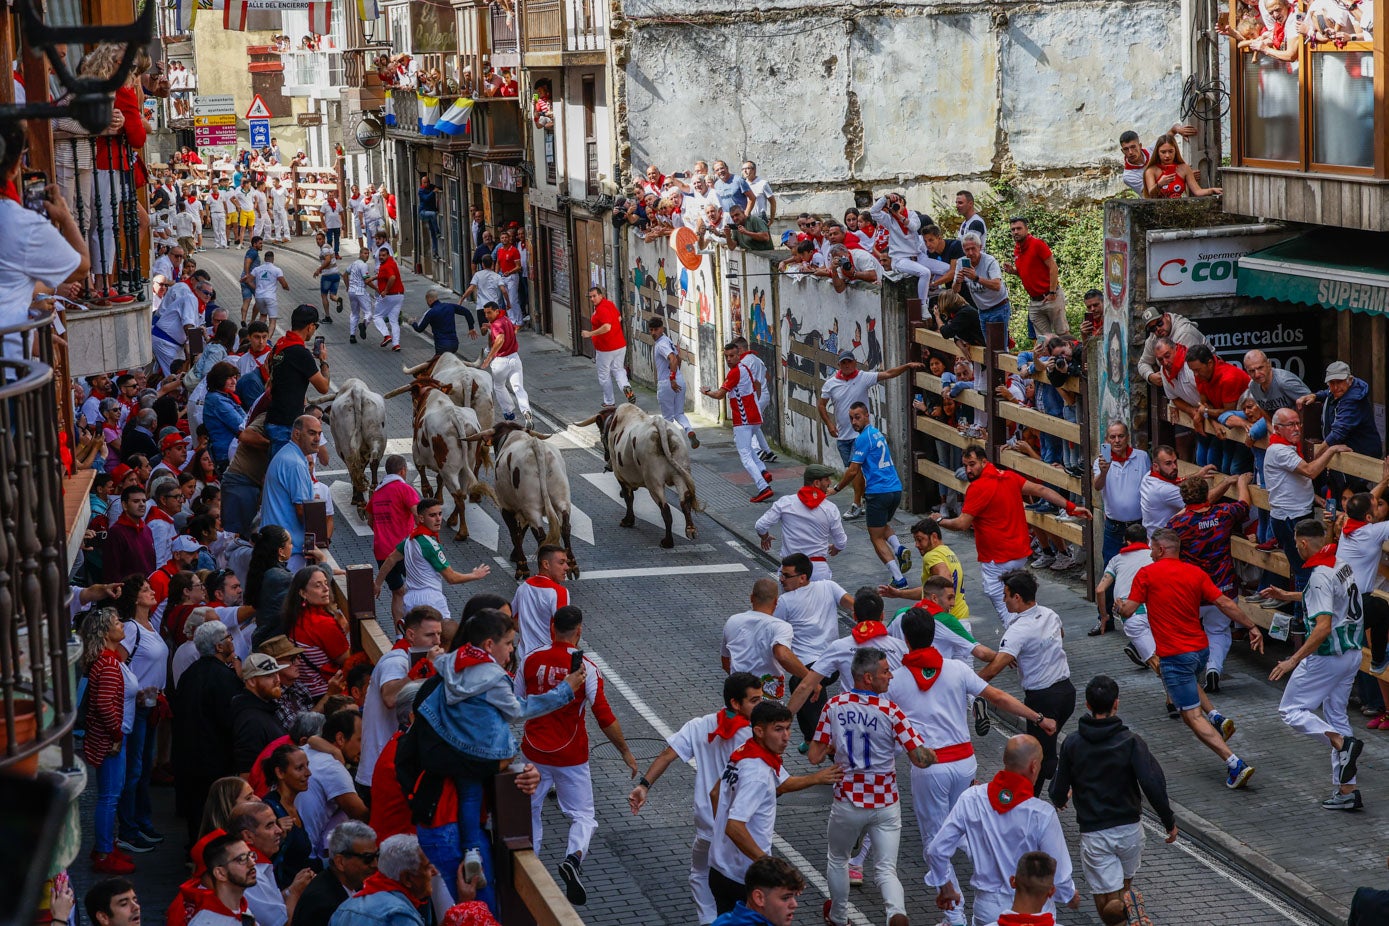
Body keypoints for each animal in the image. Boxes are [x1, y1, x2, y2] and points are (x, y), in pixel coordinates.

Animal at [306, 380, 386, 519]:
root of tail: (357, 390)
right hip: (377, 438)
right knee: (373, 462)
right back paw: (372, 491)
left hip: (346, 448)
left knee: (354, 469)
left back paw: (360, 503)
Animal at [466, 422, 575, 580]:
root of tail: (537, 446)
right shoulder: (522, 509)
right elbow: (521, 532)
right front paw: (516, 556)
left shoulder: (506, 507)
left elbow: (516, 534)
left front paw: (521, 566)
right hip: (561, 499)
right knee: (565, 527)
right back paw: (572, 564)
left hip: (531, 507)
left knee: (540, 535)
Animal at [575, 408, 705, 549]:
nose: (606, 457)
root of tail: (660, 424)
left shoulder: (621, 477)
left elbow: (629, 499)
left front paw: (628, 520)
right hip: (680, 475)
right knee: (684, 502)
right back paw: (690, 530)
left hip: (654, 482)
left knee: (665, 509)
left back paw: (667, 541)